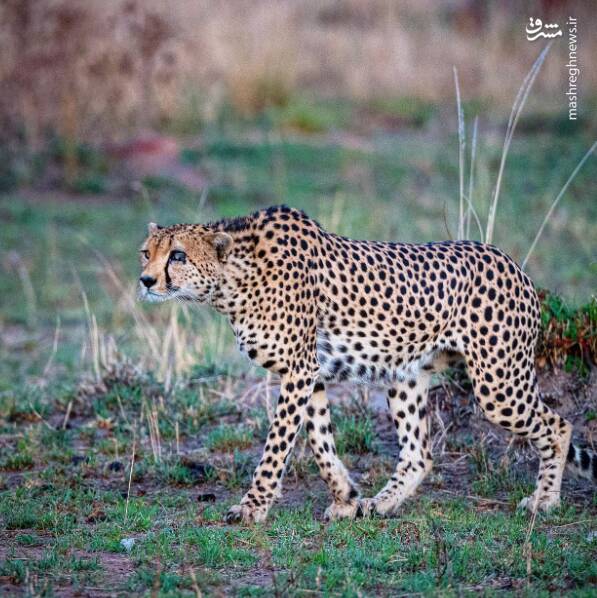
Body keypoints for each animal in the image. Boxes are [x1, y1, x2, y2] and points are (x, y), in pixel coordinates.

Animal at [139, 206, 596, 524]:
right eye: (147, 253)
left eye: (177, 256)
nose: (145, 280)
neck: (233, 279)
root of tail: (511, 261)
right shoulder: (310, 373)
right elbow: (320, 441)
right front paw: (346, 497)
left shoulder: (298, 371)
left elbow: (276, 447)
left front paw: (252, 509)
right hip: (407, 374)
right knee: (418, 454)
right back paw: (380, 504)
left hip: (498, 385)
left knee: (558, 425)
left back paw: (545, 500)